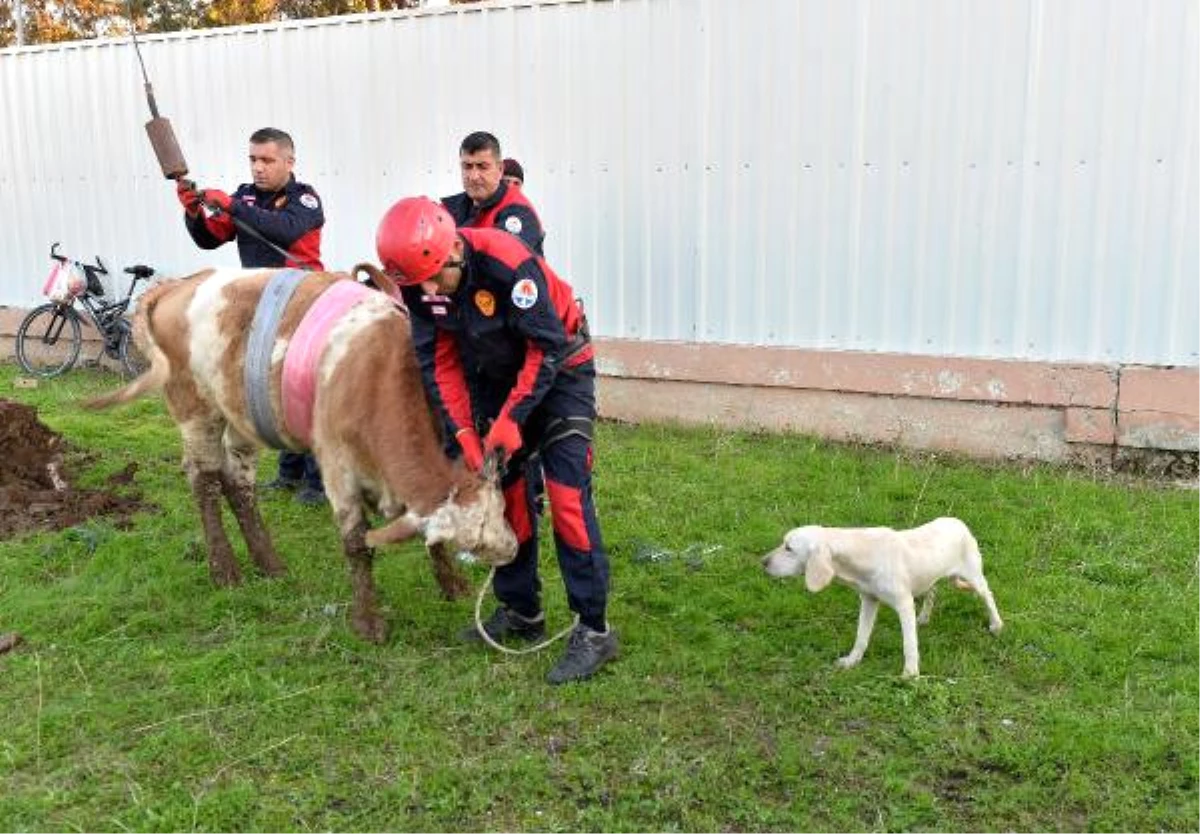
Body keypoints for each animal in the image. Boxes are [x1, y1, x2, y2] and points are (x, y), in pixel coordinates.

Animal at [87, 268, 513, 648]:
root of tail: (177, 285)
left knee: (237, 482)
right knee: (203, 479)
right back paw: (225, 569)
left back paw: (268, 563)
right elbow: (357, 544)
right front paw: (368, 623)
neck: (373, 368)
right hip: (194, 410)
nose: (511, 550)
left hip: (240, 420)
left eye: (501, 509)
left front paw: (453, 586)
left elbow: (425, 532)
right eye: (474, 543)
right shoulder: (337, 469)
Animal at [768, 516, 1003, 676]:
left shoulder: (904, 604)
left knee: (988, 596)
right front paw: (852, 661)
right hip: (928, 579)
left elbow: (909, 644)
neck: (861, 553)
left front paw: (910, 675)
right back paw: (924, 618)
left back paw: (996, 625)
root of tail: (958, 522)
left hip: (975, 577)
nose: (763, 562)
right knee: (932, 593)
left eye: (789, 548)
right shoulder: (869, 600)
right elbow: (861, 637)